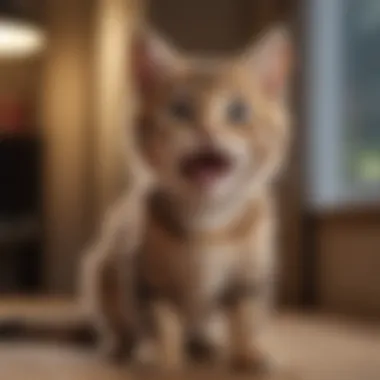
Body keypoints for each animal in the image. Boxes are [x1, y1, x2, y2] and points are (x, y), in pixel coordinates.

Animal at [0, 25, 294, 372]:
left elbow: (246, 317)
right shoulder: (142, 275)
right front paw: (163, 357)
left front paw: (246, 354)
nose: (207, 130)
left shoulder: (250, 276)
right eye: (180, 110)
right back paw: (119, 348)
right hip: (101, 269)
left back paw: (203, 344)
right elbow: (159, 320)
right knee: (118, 324)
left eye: (238, 111)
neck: (208, 223)